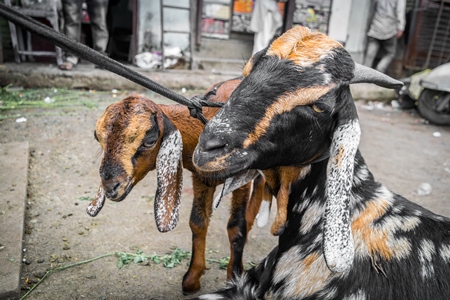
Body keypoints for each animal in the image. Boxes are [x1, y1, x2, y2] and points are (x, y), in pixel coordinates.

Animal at [86, 78, 268, 296]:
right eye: (97, 137)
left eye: (150, 141)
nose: (111, 186)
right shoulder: (200, 178)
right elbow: (197, 223)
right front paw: (192, 279)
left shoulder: (240, 177)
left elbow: (236, 226)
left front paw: (234, 278)